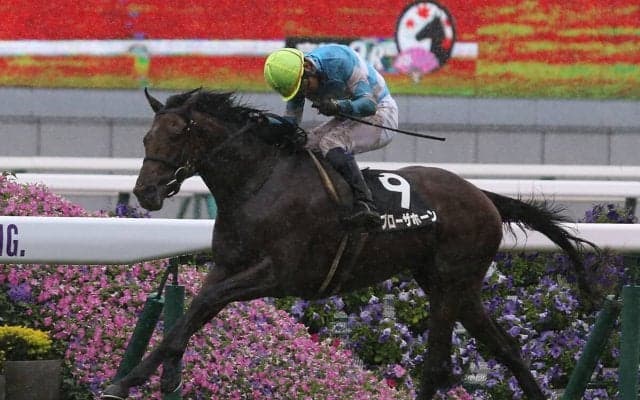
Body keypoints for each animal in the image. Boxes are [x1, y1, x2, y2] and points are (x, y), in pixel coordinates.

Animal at [102, 88, 597, 400]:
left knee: (437, 362)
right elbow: (191, 315)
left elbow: (200, 310)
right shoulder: (227, 266)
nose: (145, 192)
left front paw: (126, 380)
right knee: (505, 349)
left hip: (451, 284)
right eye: (146, 137)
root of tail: (485, 196)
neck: (259, 182)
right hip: (454, 286)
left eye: (176, 134)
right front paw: (137, 378)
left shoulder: (277, 274)